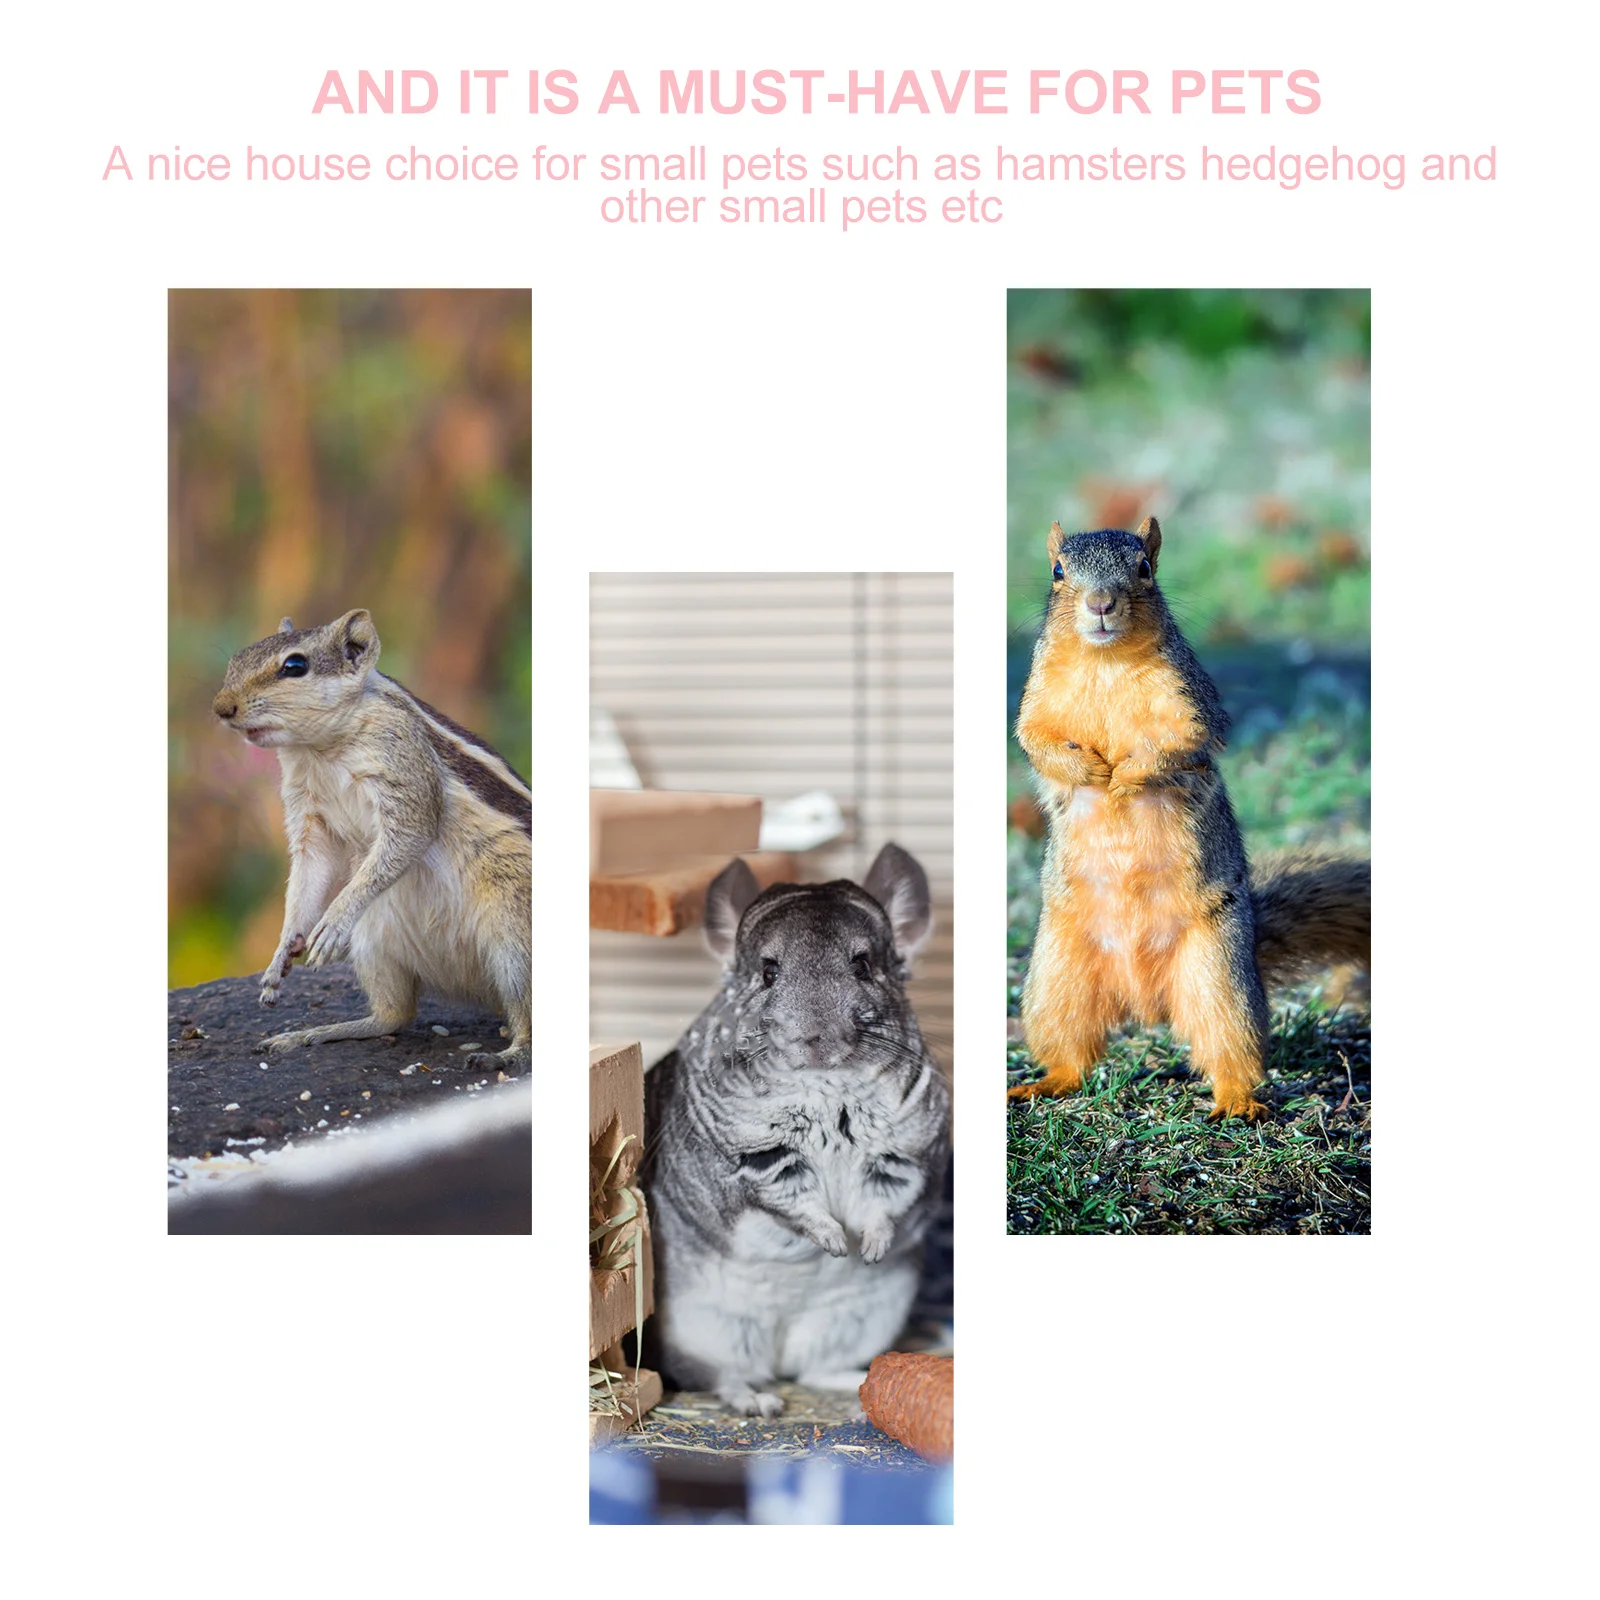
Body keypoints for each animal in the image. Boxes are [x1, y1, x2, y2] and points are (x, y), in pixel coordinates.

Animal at [641, 843, 951, 1417]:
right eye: (768, 972)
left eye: (862, 964)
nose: (816, 1038)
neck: (826, 1087)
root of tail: (778, 1350)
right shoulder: (753, 1162)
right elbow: (793, 1202)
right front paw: (834, 1244)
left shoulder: (904, 1154)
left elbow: (884, 1203)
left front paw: (868, 1249)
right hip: (702, 1329)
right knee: (720, 1376)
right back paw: (756, 1402)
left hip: (862, 1319)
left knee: (814, 1370)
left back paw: (856, 1389)